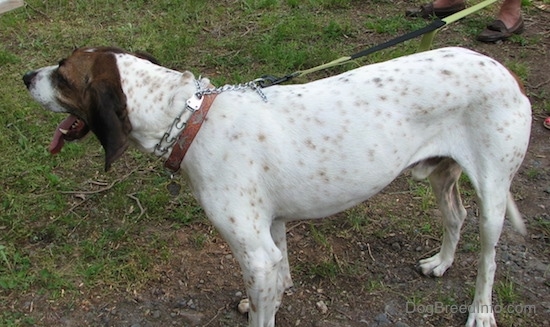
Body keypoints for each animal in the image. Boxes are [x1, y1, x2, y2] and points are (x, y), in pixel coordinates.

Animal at [22, 46, 536, 327]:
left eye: (63, 75)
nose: (26, 76)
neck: (191, 119)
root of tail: (504, 71)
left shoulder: (255, 253)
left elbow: (265, 309)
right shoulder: (271, 235)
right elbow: (280, 277)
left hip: (493, 195)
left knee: (489, 258)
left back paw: (481, 311)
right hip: (440, 174)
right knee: (456, 216)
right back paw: (442, 263)